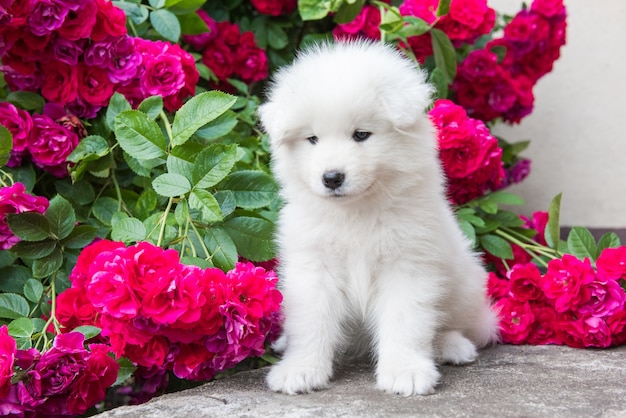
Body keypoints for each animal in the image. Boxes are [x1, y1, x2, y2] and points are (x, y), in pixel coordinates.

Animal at [256, 40, 494, 396]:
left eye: (361, 135)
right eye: (312, 139)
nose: (332, 177)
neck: (356, 211)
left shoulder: (407, 265)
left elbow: (405, 321)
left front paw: (406, 371)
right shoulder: (314, 267)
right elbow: (311, 322)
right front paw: (301, 369)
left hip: (464, 284)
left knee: (458, 325)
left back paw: (451, 346)